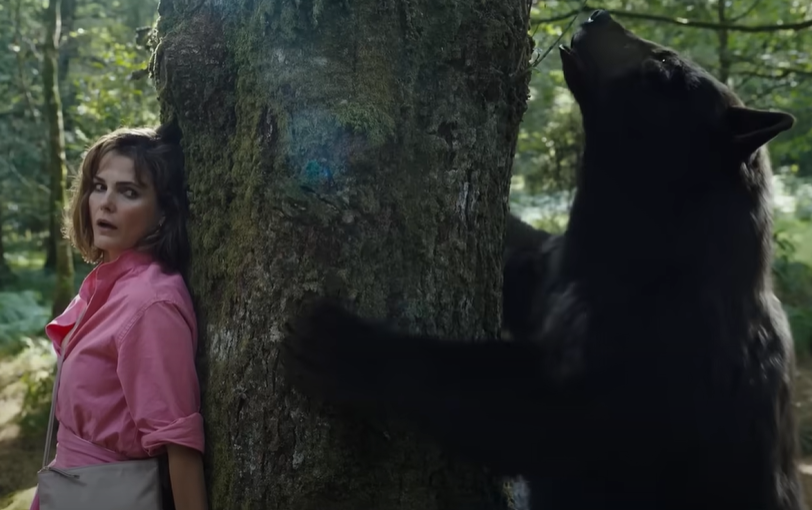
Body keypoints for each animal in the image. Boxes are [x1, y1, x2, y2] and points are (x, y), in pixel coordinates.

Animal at [282, 9, 801, 510]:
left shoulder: (662, 360)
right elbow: (520, 263)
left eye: (663, 70)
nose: (597, 16)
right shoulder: (558, 270)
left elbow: (529, 413)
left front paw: (346, 344)